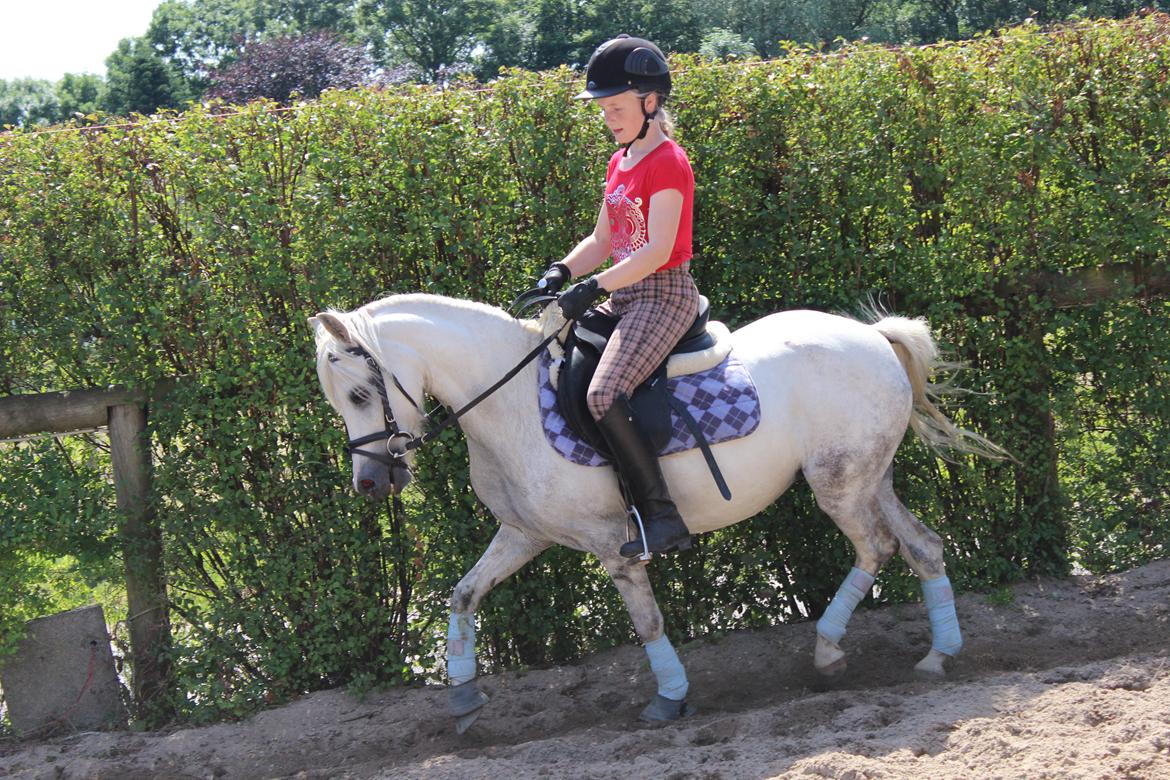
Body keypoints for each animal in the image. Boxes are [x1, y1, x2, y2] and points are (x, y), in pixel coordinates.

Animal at [308, 292, 996, 734]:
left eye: (362, 393)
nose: (370, 483)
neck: (511, 406)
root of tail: (874, 337)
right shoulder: (524, 534)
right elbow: (463, 595)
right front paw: (463, 699)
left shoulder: (612, 544)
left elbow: (647, 623)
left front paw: (669, 698)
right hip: (868, 478)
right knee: (922, 545)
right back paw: (936, 654)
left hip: (840, 484)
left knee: (878, 546)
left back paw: (833, 649)